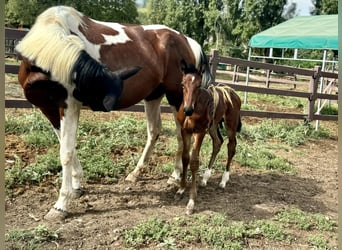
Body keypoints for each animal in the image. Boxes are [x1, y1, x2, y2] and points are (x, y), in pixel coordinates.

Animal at [15, 5, 211, 220]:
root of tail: (188, 41)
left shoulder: (69, 105)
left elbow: (66, 152)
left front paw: (61, 205)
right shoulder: (48, 108)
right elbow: (67, 146)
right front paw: (77, 186)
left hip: (177, 98)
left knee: (179, 134)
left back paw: (175, 176)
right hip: (153, 96)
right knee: (154, 130)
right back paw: (135, 174)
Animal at [178, 60, 242, 215]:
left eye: (198, 85)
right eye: (182, 84)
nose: (187, 110)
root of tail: (232, 92)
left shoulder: (200, 132)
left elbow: (194, 162)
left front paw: (191, 202)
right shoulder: (185, 130)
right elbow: (185, 157)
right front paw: (181, 188)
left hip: (230, 125)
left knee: (231, 147)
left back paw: (224, 180)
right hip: (213, 125)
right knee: (218, 142)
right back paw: (205, 179)